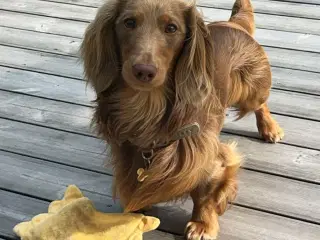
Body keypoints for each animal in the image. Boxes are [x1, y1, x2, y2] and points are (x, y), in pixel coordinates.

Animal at [81, 0, 284, 238]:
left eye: (171, 28)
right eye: (129, 23)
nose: (143, 71)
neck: (147, 108)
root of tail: (235, 24)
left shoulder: (211, 156)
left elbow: (205, 192)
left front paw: (202, 224)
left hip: (251, 92)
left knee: (260, 104)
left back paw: (270, 128)